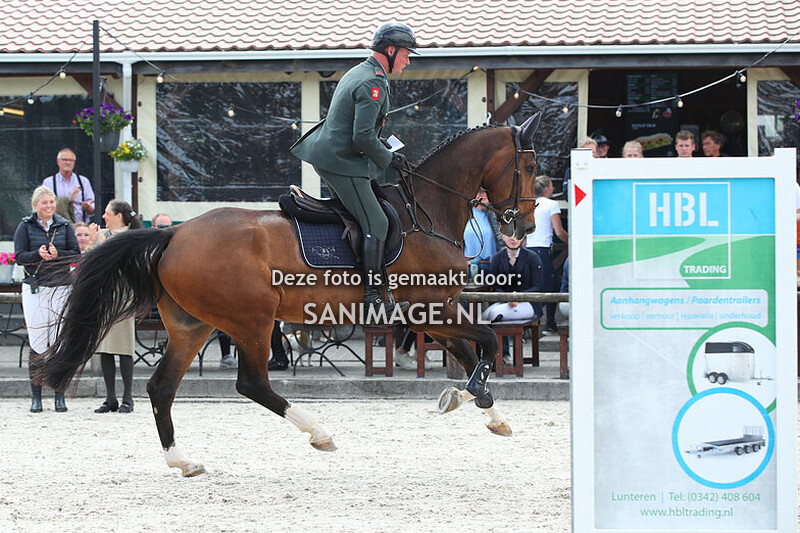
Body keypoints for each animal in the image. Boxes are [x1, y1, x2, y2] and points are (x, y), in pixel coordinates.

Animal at [37, 113, 541, 477]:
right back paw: (319, 432)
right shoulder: (429, 309)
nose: (525, 227)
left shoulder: (433, 312)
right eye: (531, 168)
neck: (429, 211)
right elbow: (488, 342)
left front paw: (483, 408)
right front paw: (471, 394)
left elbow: (471, 352)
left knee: (162, 388)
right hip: (251, 321)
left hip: (191, 326)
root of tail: (172, 235)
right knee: (251, 383)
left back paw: (183, 461)